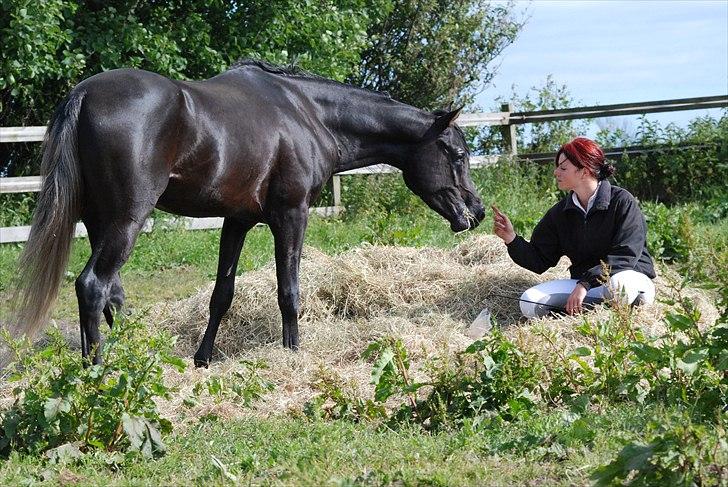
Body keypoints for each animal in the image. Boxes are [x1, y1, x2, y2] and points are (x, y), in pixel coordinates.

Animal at [12, 60, 484, 366]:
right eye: (458, 154)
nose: (477, 211)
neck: (307, 113)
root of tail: (84, 93)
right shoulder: (291, 215)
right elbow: (288, 291)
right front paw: (292, 354)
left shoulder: (236, 221)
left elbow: (222, 294)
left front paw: (203, 359)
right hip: (125, 221)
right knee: (93, 286)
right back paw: (98, 370)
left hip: (99, 223)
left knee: (112, 293)